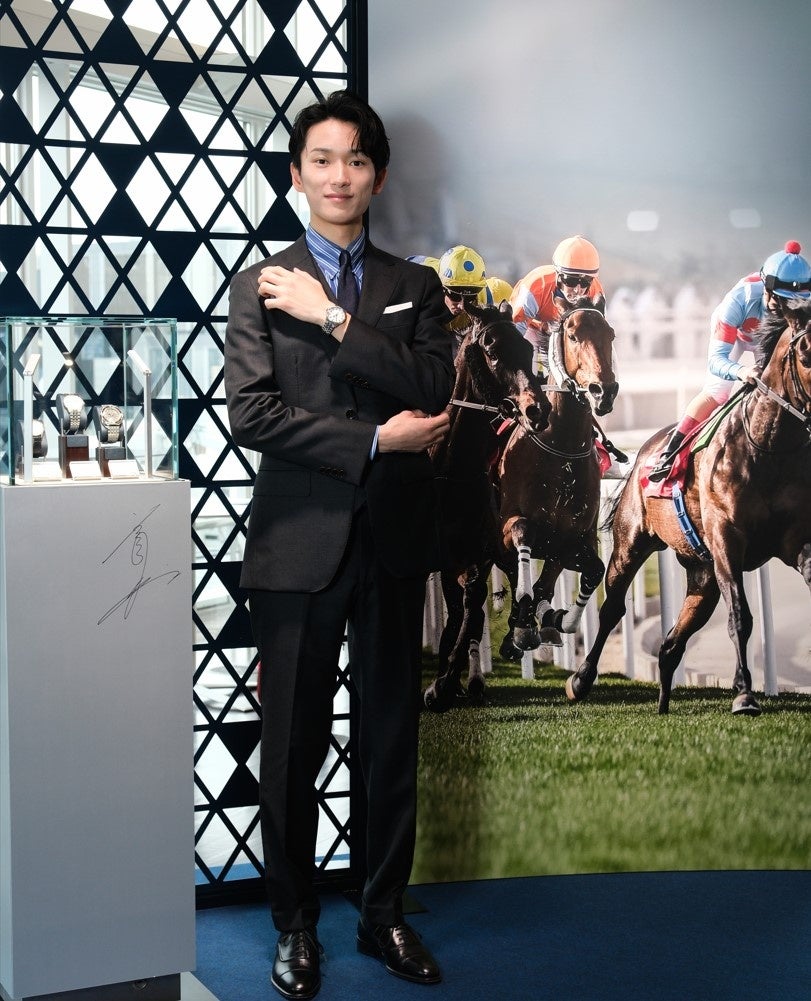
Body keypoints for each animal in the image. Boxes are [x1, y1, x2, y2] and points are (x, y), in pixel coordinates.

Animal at [424, 300, 549, 712]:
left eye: (526, 349)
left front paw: (444, 684)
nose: (537, 409)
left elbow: (472, 606)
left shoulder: (475, 553)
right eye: (492, 350)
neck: (449, 471)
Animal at [497, 297, 619, 654]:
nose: (603, 391)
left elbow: (592, 570)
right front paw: (525, 626)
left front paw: (556, 619)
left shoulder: (569, 540)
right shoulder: (505, 527)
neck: (561, 451)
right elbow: (523, 532)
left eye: (611, 335)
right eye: (573, 336)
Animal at [565, 304, 811, 715]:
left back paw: (664, 704)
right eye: (806, 354)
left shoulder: (795, 542)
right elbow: (740, 616)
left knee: (670, 644)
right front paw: (744, 694)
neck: (766, 446)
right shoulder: (727, 542)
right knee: (613, 608)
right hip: (632, 544)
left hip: (702, 576)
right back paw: (581, 680)